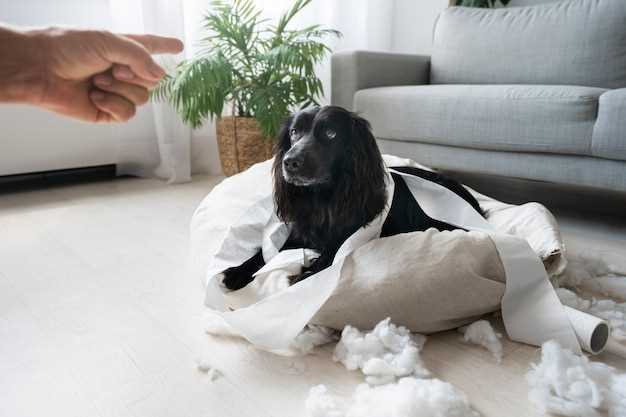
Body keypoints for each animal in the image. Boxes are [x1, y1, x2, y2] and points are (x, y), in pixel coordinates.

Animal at [222, 106, 480, 290]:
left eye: (331, 133)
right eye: (294, 132)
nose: (290, 162)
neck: (323, 199)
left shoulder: (348, 236)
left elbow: (329, 256)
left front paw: (305, 273)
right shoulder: (300, 233)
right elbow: (263, 253)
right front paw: (238, 270)